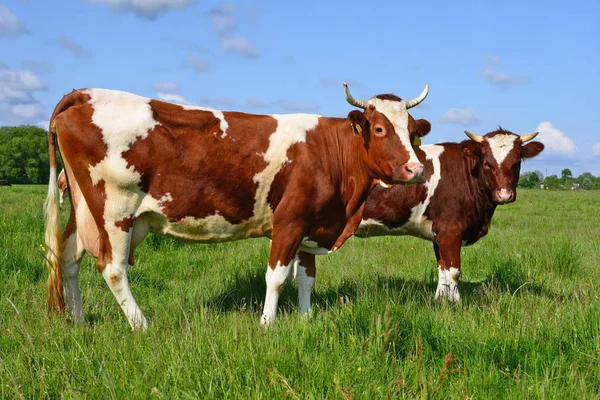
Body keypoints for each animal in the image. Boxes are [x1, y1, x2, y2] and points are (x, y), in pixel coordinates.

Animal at [45, 83, 432, 328]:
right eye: (379, 129)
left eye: (413, 132)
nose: (415, 170)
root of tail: (83, 94)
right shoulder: (290, 221)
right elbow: (276, 277)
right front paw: (267, 323)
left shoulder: (311, 223)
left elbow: (306, 277)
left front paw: (305, 320)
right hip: (116, 210)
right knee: (112, 268)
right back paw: (141, 325)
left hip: (86, 210)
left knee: (68, 256)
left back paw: (78, 320)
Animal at [350, 128, 548, 300]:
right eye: (487, 163)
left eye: (517, 162)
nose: (505, 194)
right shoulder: (450, 230)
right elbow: (453, 271)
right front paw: (455, 304)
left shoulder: (439, 232)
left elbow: (442, 269)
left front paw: (440, 300)